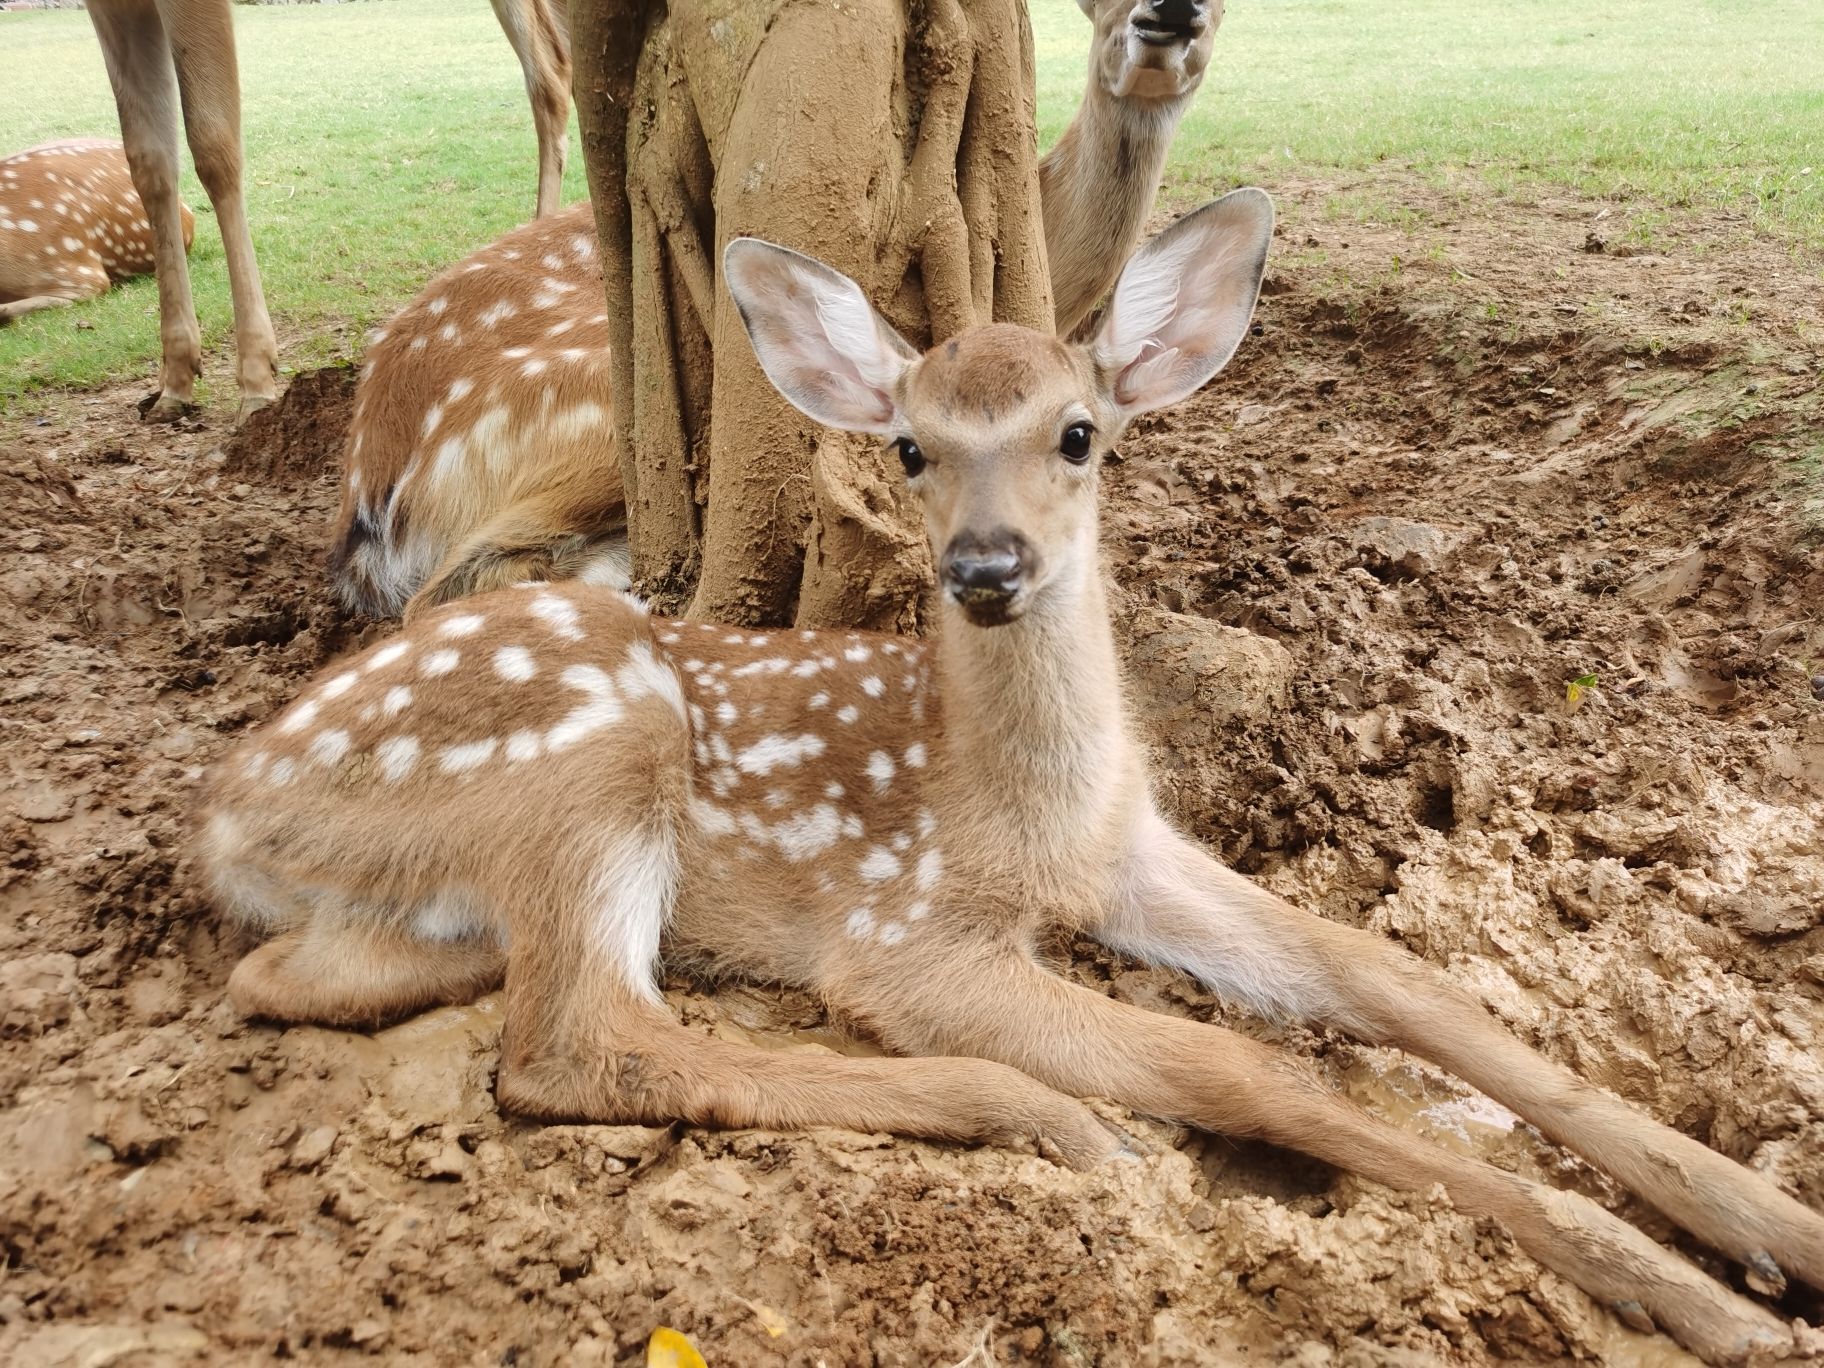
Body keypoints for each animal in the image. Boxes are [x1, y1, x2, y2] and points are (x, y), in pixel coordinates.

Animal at [201, 190, 1824, 1364]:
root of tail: (231, 801)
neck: (1019, 807)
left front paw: (1769, 1223)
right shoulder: (908, 932)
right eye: (912, 449)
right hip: (596, 750)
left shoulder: (1136, 850)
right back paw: (1032, 1113)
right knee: (576, 1041)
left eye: (1080, 433)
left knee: (293, 978)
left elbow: (1387, 972)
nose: (986, 567)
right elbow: (1245, 1065)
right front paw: (1704, 1302)